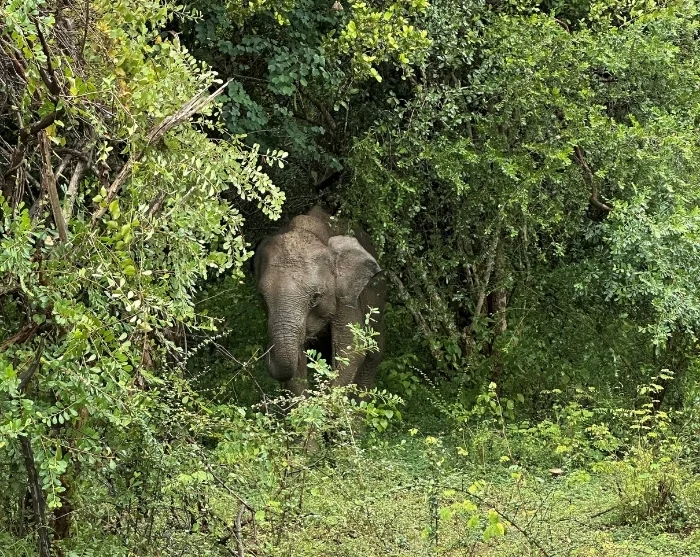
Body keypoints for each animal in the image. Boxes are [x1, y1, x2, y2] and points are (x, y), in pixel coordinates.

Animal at [252, 205, 386, 396]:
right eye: (262, 297)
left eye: (316, 297)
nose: (265, 350)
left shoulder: (344, 295)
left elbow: (351, 346)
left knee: (374, 352)